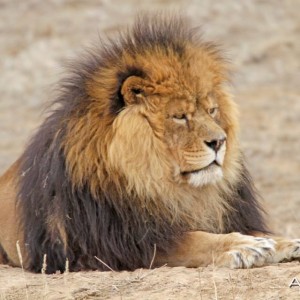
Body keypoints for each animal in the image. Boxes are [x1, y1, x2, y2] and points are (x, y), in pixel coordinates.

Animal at [0, 14, 300, 274]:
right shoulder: (118, 245)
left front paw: (282, 241)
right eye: (179, 116)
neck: (158, 184)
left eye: (212, 110)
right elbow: (194, 240)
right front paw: (242, 245)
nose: (219, 141)